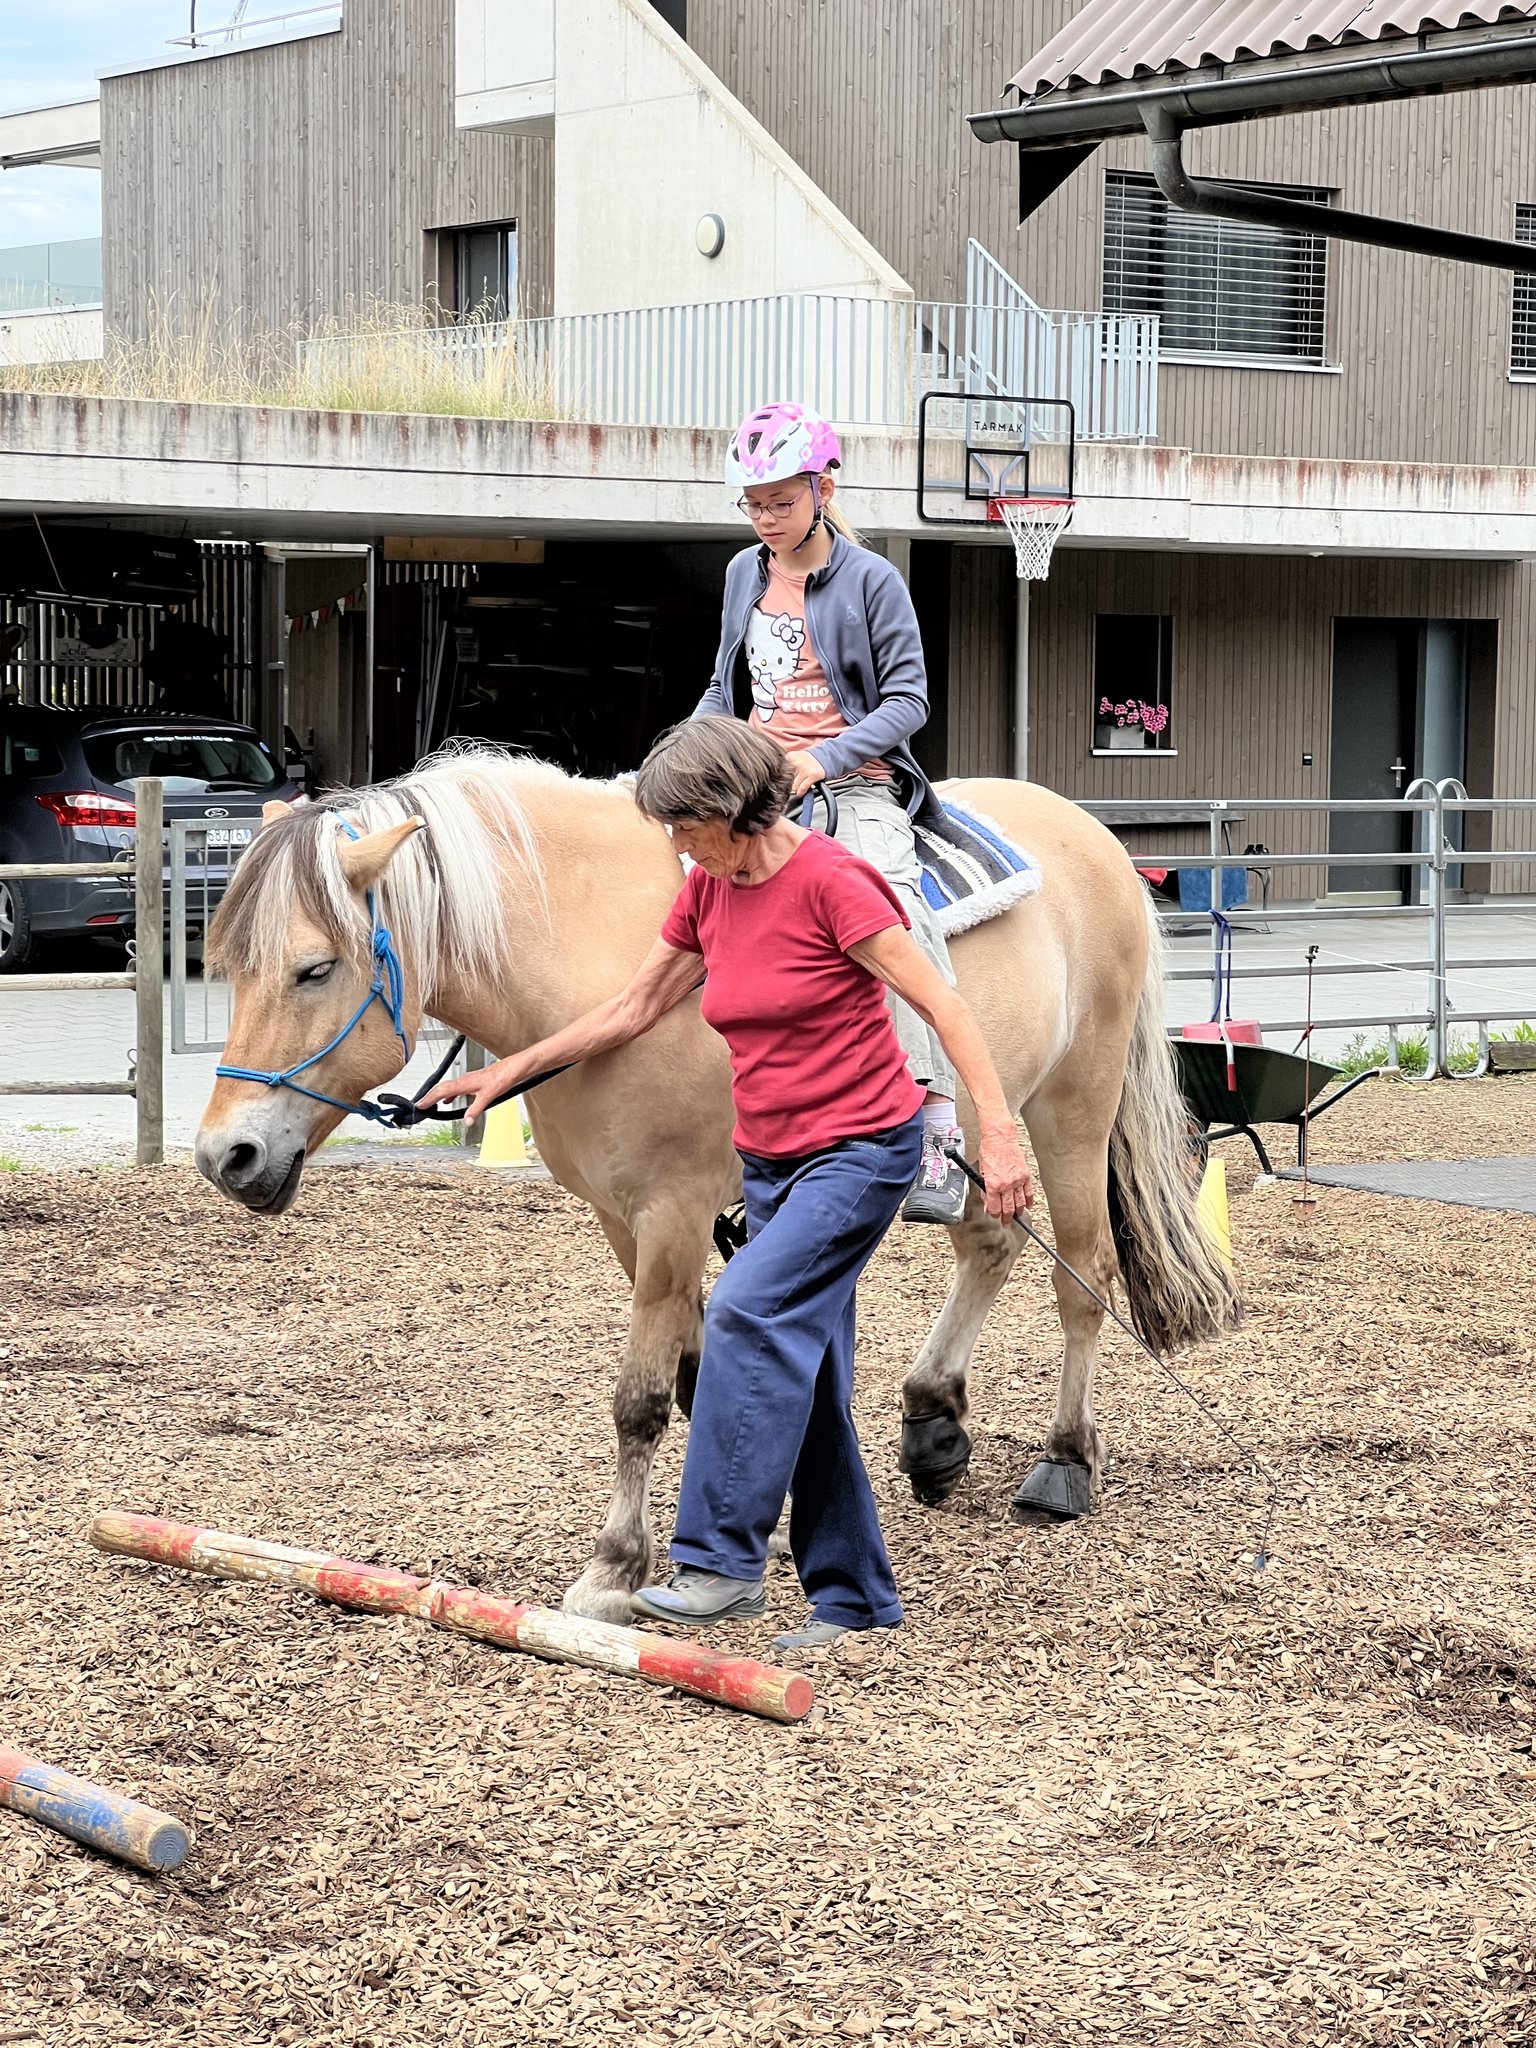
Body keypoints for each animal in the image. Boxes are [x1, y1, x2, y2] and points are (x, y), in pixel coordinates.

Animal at [195, 750, 1237, 1622]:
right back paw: (933, 1424)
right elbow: (700, 1378)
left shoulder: (672, 1212)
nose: (224, 1156)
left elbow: (641, 1399)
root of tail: (1092, 835)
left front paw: (615, 1568)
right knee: (991, 1241)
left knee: (1081, 1278)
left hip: (1073, 1108)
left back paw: (1065, 1464)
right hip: (992, 1120)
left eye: (314, 968)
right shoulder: (625, 1221)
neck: (593, 952)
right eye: (228, 966)